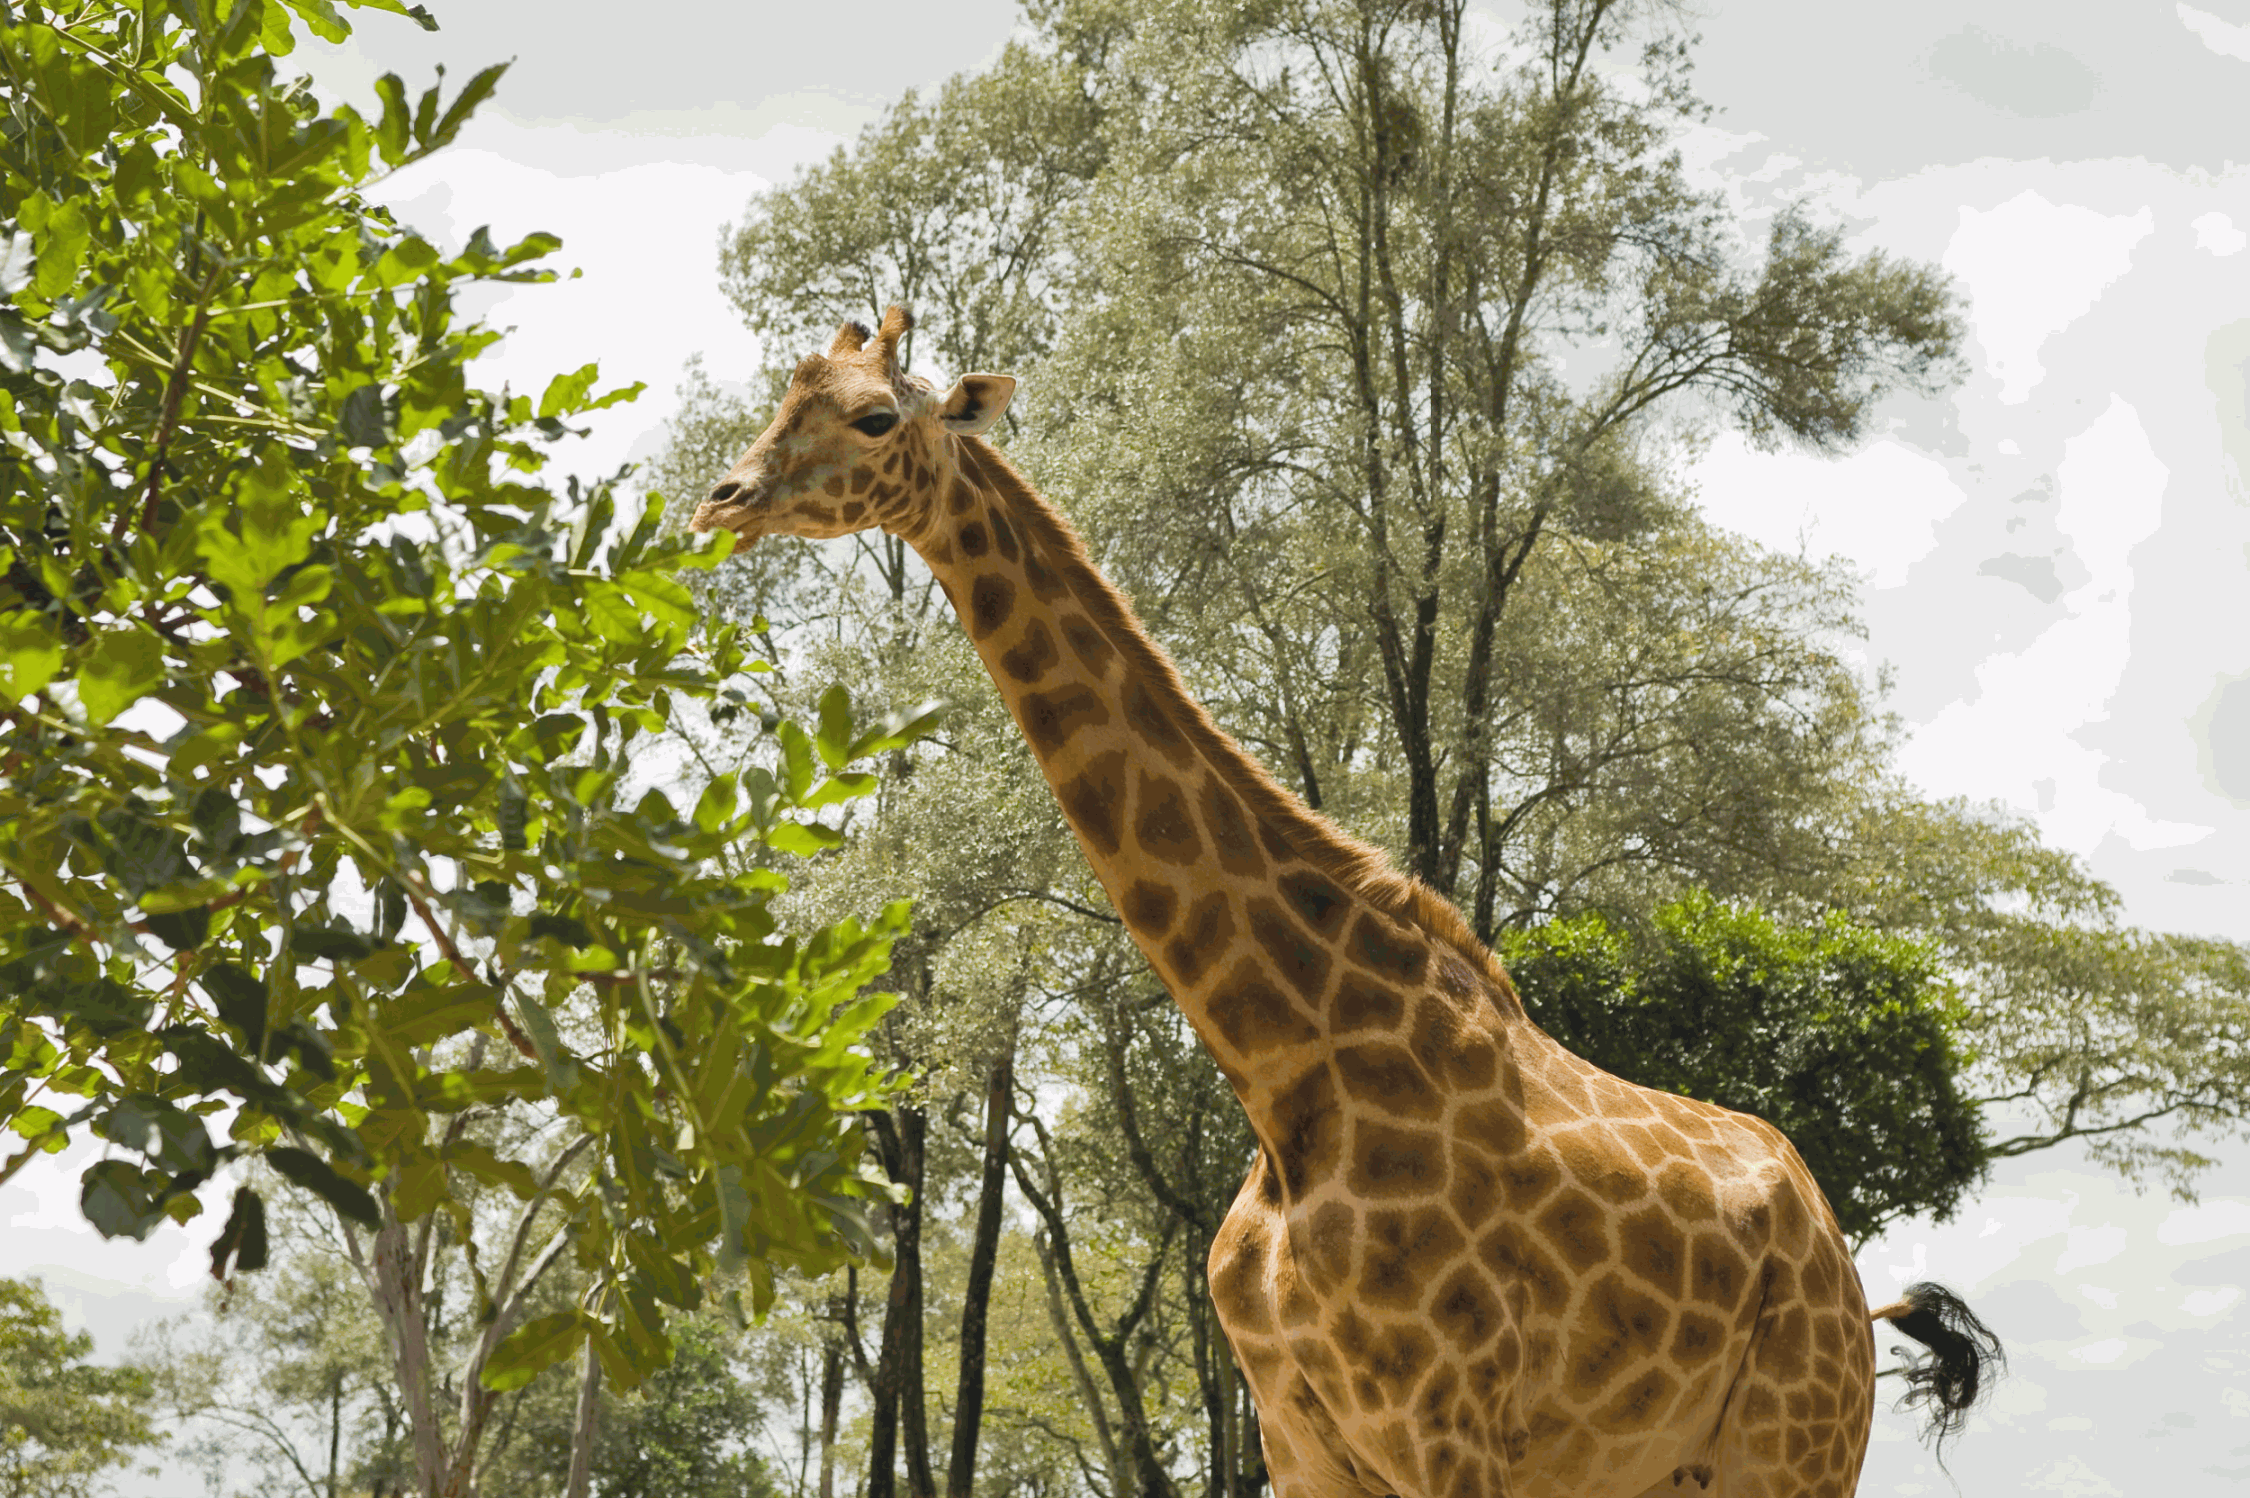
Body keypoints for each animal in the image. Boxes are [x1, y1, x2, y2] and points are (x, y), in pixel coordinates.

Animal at [690, 307, 2001, 1498]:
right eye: (786, 394)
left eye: (873, 416)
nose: (721, 497)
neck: (1284, 1077)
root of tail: (1844, 1265)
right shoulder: (1299, 1436)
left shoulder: (1447, 1425)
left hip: (1793, 1445)